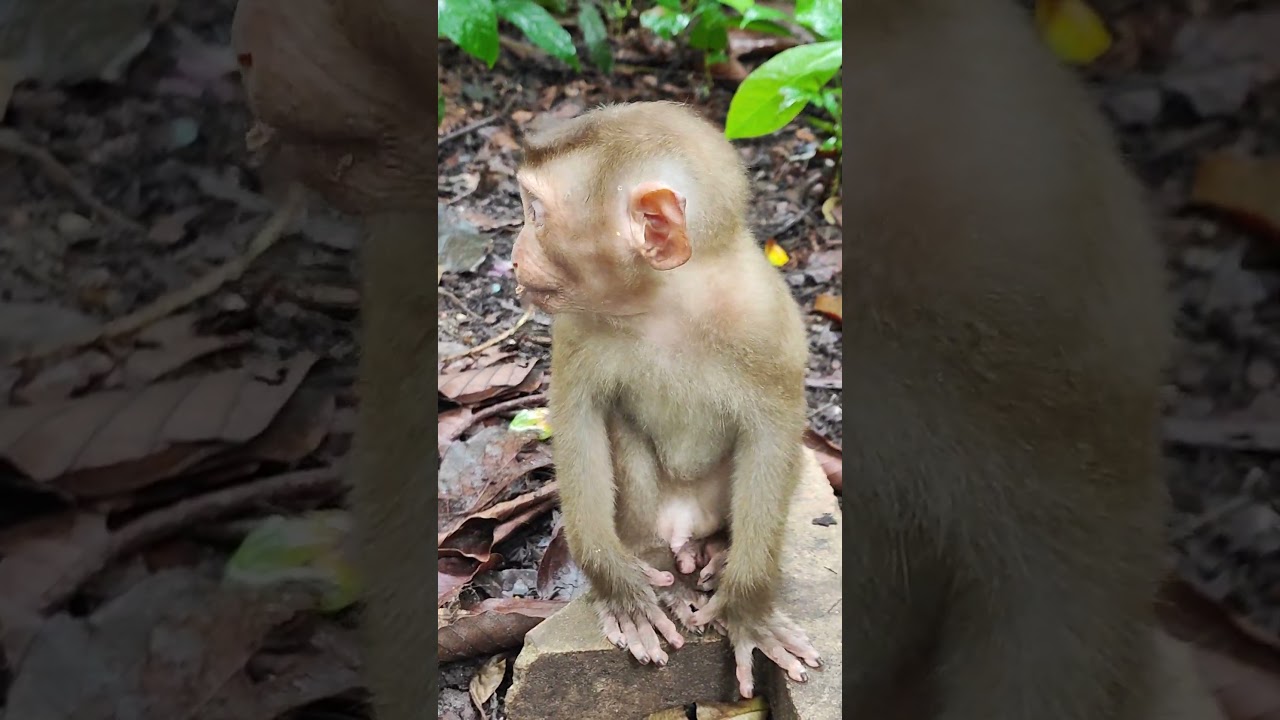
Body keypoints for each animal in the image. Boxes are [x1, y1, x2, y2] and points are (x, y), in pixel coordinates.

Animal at [511, 101, 822, 699]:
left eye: (536, 213)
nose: (514, 255)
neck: (666, 303)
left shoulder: (769, 323)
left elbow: (773, 435)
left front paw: (747, 608)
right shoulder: (577, 323)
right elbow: (579, 419)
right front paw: (619, 586)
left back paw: (714, 552)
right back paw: (660, 565)